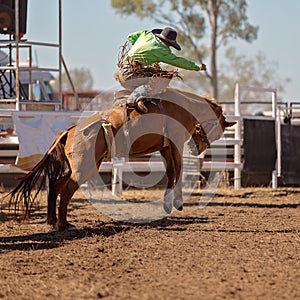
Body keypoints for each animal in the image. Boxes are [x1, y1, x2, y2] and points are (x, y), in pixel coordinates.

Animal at [8, 87, 236, 232]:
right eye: (217, 130)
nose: (197, 149)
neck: (182, 106)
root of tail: (69, 131)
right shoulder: (175, 144)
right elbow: (177, 171)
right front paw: (177, 203)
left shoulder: (165, 148)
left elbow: (171, 172)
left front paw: (167, 204)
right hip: (84, 169)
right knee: (65, 192)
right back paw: (64, 225)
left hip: (81, 167)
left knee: (55, 185)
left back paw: (51, 221)